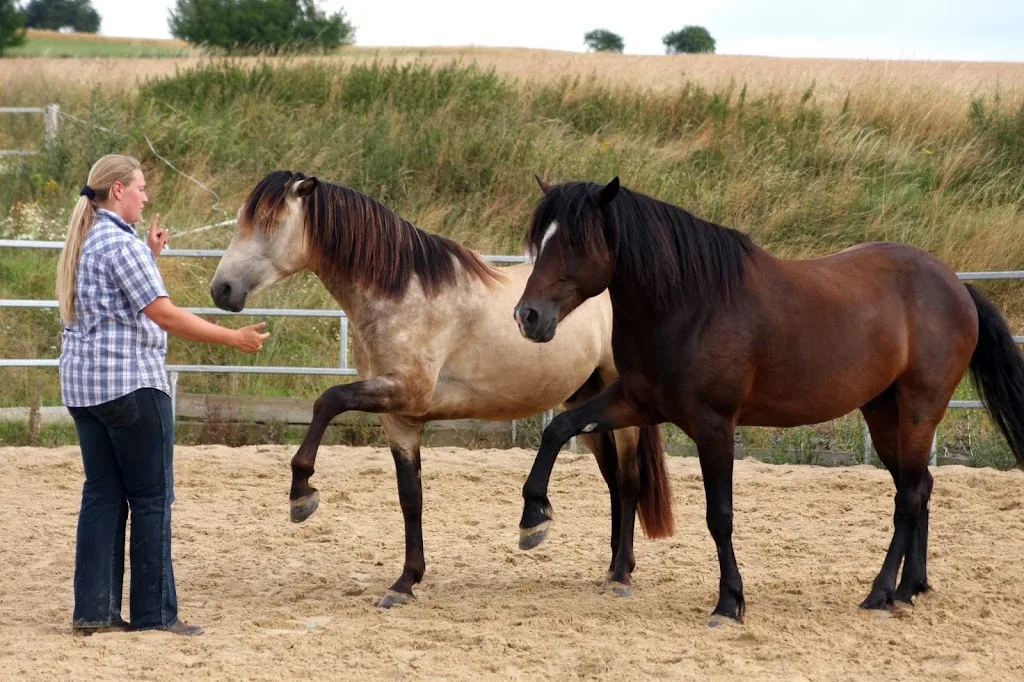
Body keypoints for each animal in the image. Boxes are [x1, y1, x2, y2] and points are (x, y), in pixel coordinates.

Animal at [208, 170, 675, 607]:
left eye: (269, 222)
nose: (221, 289)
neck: (402, 293)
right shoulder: (398, 418)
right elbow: (410, 497)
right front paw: (405, 582)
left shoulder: (404, 390)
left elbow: (327, 401)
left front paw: (301, 494)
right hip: (584, 400)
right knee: (612, 480)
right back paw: (613, 565)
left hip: (621, 405)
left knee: (629, 482)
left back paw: (619, 574)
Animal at [512, 176, 1024, 625]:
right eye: (541, 240)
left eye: (575, 242)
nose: (528, 316)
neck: (690, 304)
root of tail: (956, 285)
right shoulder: (635, 402)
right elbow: (557, 429)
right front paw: (534, 519)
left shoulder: (714, 425)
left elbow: (720, 516)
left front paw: (729, 602)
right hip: (883, 414)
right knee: (921, 488)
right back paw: (909, 588)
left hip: (919, 411)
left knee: (909, 496)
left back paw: (880, 594)